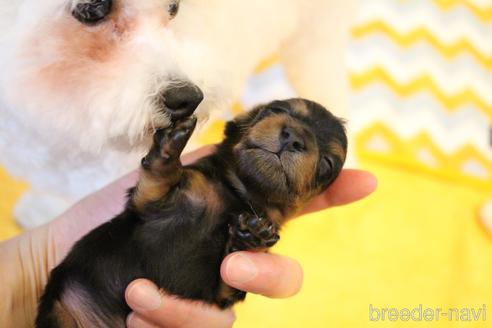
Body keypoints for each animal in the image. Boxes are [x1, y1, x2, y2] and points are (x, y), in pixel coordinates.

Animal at [35, 98, 346, 326]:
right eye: (275, 110)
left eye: (327, 164)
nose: (294, 137)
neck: (237, 195)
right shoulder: (151, 202)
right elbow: (157, 178)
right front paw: (171, 142)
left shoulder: (217, 294)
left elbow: (229, 278)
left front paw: (250, 236)